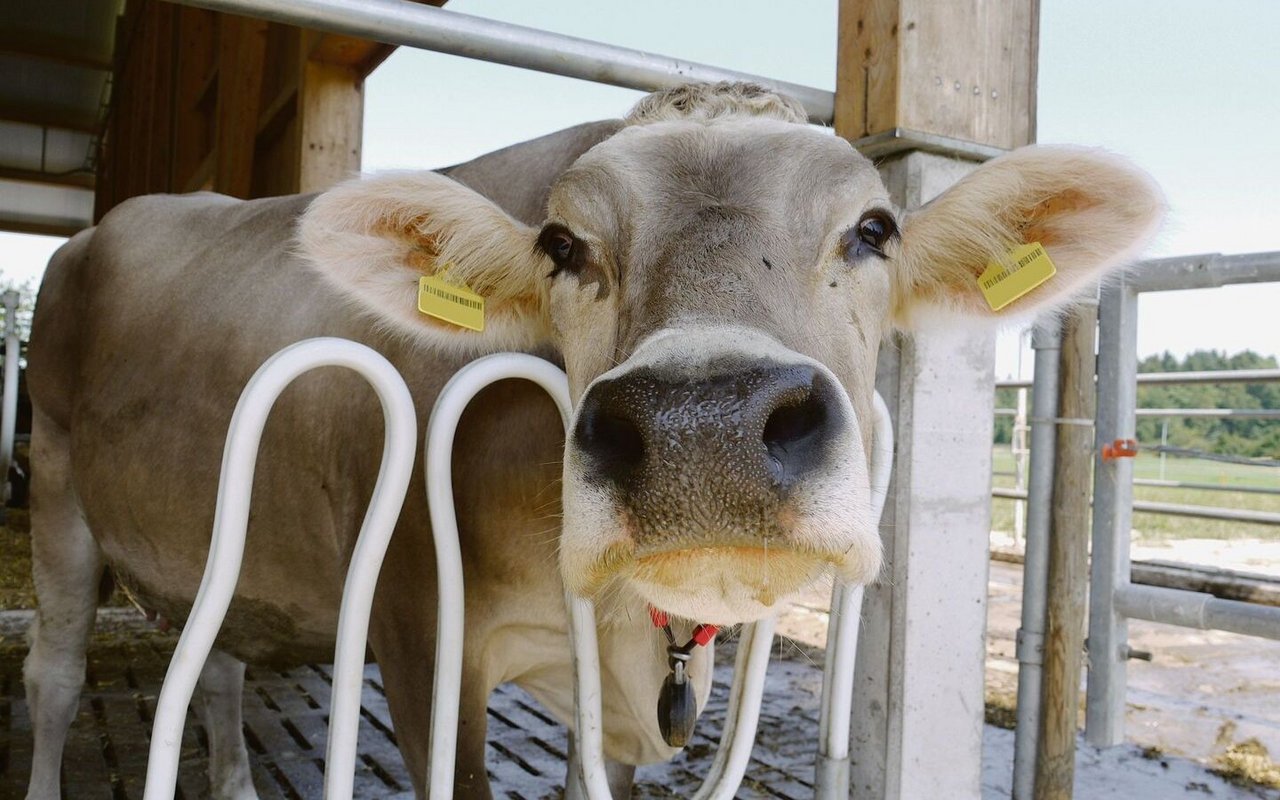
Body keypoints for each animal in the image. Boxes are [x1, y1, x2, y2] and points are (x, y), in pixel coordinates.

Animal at [20, 82, 1167, 798]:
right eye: (561, 245)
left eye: (874, 230)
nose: (705, 431)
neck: (622, 631)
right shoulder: (416, 626)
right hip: (57, 487)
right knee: (57, 678)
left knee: (215, 662)